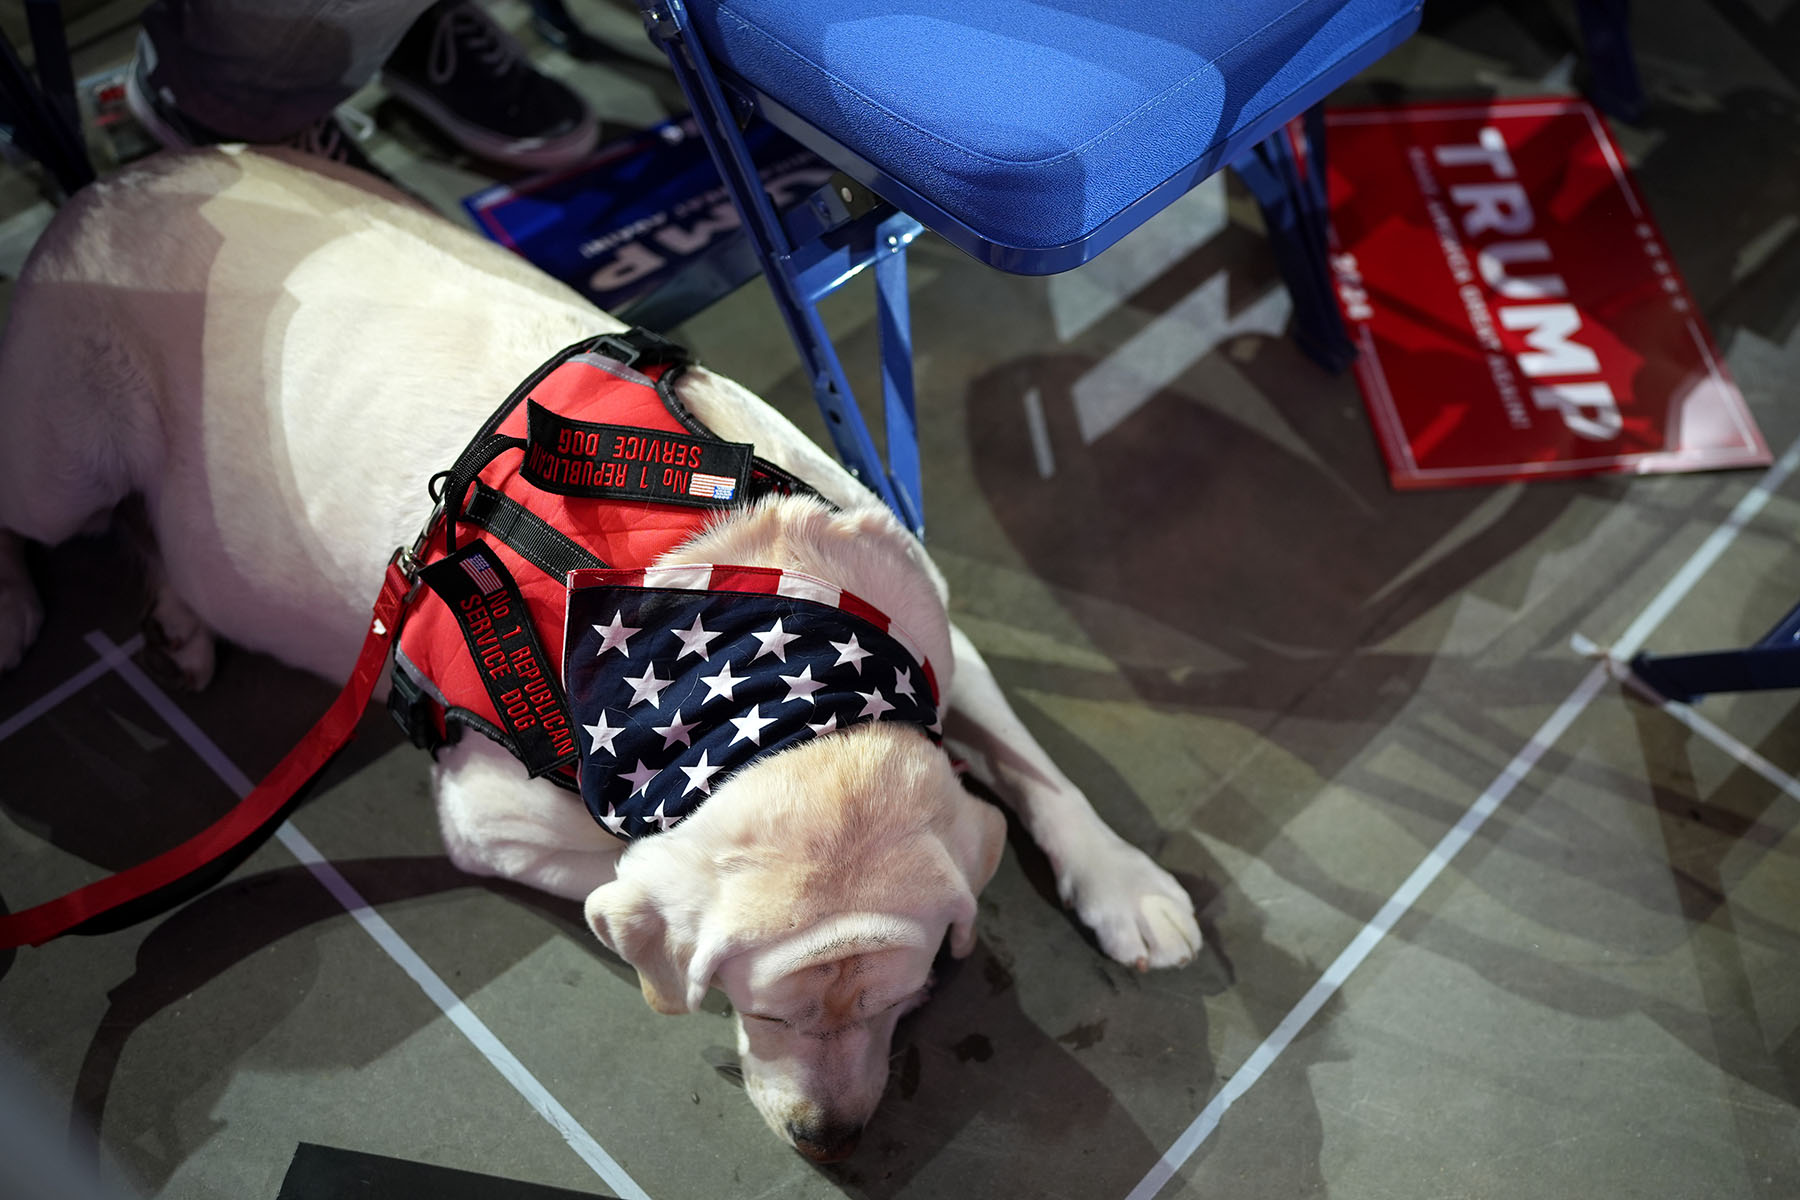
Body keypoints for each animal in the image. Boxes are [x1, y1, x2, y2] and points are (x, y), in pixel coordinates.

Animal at [0, 147, 1195, 1165]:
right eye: (764, 1011)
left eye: (901, 1005)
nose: (833, 1138)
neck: (755, 641)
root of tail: (111, 178)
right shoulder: (491, 816)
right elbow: (615, 867)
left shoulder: (929, 620)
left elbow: (1034, 765)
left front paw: (1125, 883)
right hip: (58, 458)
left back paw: (178, 612)